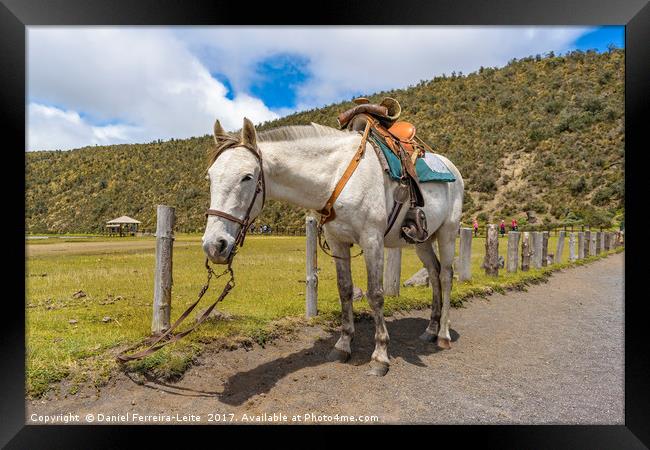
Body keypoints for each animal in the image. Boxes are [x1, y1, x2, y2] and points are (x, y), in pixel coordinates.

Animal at [202, 117, 460, 376]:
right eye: (210, 177)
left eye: (246, 177)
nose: (214, 245)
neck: (337, 176)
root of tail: (452, 168)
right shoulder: (338, 242)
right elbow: (344, 289)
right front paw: (343, 345)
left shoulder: (372, 240)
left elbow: (375, 294)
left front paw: (380, 356)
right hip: (422, 242)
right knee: (434, 273)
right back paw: (431, 329)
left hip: (447, 233)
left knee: (446, 276)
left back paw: (443, 334)